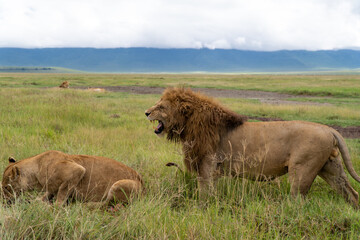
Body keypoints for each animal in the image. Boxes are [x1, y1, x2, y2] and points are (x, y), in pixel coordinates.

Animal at [2, 151, 144, 205]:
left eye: (6, 187)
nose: (4, 201)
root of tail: (142, 181)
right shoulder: (50, 189)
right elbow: (46, 194)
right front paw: (35, 201)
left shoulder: (76, 170)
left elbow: (61, 196)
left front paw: (53, 207)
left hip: (118, 185)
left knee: (105, 203)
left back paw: (85, 205)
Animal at [146, 87, 360, 207]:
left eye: (161, 107)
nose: (146, 112)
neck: (190, 124)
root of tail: (330, 129)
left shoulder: (206, 167)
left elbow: (204, 194)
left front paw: (200, 210)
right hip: (331, 168)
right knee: (352, 193)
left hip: (302, 171)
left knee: (298, 200)